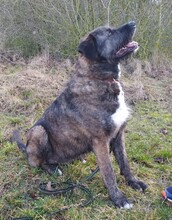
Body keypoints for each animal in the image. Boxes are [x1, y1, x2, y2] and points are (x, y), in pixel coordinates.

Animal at [12, 21, 147, 209]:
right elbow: (109, 172)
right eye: (109, 33)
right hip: (38, 131)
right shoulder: (100, 141)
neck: (100, 80)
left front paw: (133, 182)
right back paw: (52, 169)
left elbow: (124, 163)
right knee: (38, 162)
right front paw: (118, 198)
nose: (133, 22)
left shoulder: (119, 134)